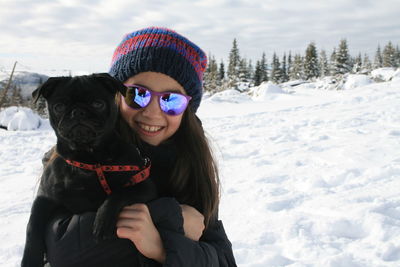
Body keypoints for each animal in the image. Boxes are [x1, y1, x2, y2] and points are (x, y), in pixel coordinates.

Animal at [21, 74, 157, 267]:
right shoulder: (44, 198)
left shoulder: (144, 184)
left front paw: (103, 221)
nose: (78, 112)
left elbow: (118, 194)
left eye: (98, 104)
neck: (87, 159)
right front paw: (30, 259)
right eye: (59, 106)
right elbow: (32, 228)